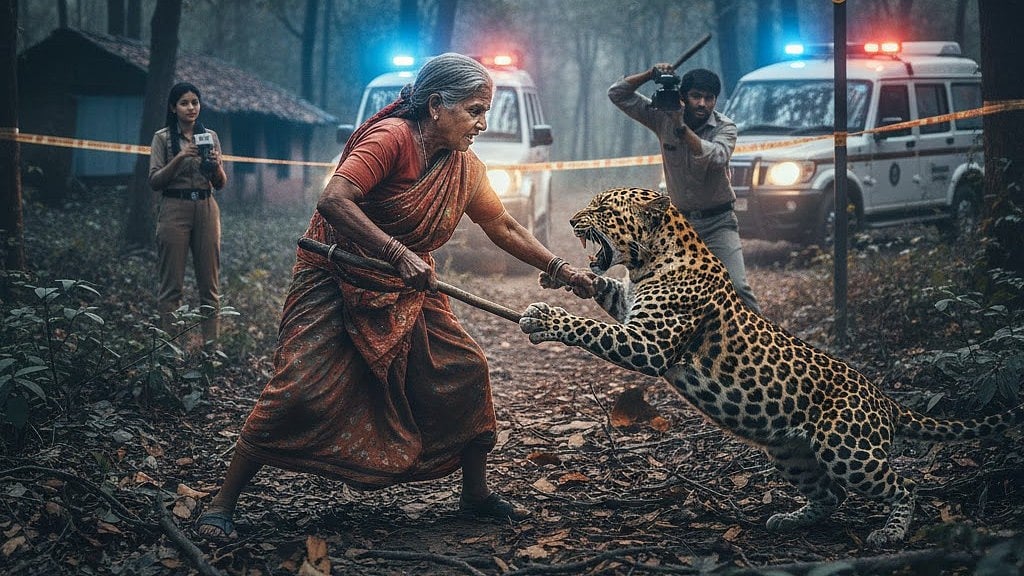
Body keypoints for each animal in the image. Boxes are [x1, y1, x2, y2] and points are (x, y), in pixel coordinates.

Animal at [520, 187, 1023, 547]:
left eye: (603, 208)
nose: (571, 221)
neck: (651, 262)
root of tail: (884, 400)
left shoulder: (648, 344)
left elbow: (590, 328)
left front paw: (545, 317)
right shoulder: (629, 308)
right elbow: (603, 288)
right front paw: (563, 277)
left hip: (848, 449)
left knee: (904, 483)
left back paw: (891, 532)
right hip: (790, 452)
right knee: (831, 494)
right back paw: (790, 519)